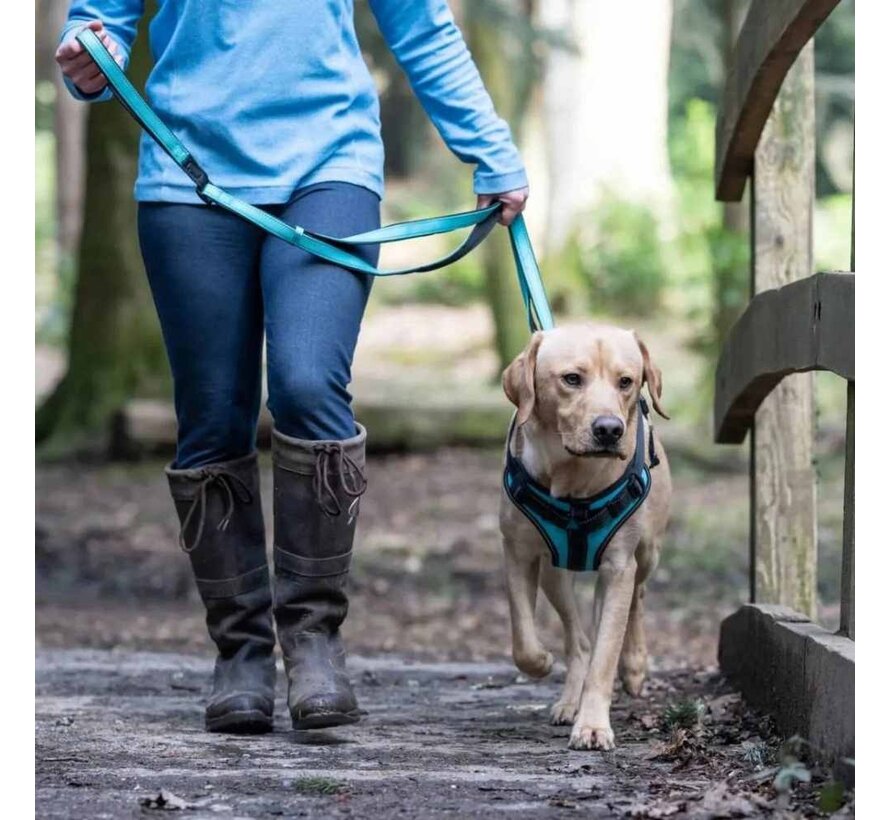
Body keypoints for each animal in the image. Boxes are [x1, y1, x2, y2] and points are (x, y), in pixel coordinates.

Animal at [492, 320, 672, 748]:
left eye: (626, 381)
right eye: (572, 379)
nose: (609, 430)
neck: (574, 482)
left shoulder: (619, 567)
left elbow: (606, 656)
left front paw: (592, 725)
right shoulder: (518, 552)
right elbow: (523, 638)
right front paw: (541, 661)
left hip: (648, 552)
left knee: (638, 597)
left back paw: (634, 664)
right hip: (554, 574)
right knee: (580, 640)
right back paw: (569, 700)